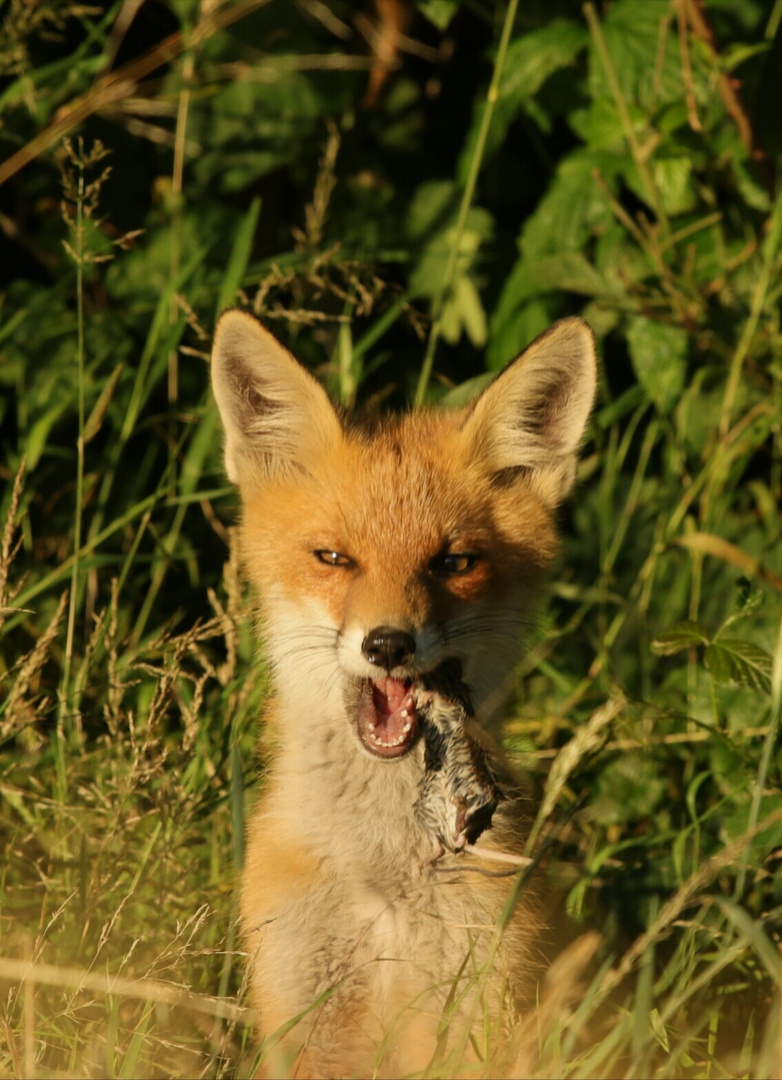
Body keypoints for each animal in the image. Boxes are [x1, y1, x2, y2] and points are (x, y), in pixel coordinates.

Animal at [210, 308, 596, 1075]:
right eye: (333, 557)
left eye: (454, 562)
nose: (388, 644)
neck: (383, 882)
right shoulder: (302, 1016)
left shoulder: (482, 1010)